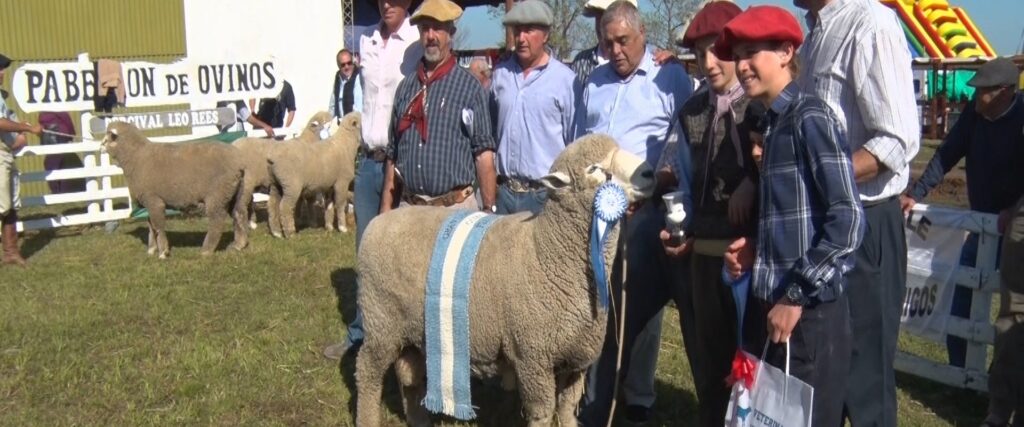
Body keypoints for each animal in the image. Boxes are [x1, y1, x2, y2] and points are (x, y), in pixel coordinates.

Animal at [100, 121, 248, 258]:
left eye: (108, 137)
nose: (100, 146)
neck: (136, 156)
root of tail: (238, 161)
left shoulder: (154, 201)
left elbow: (158, 227)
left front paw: (163, 252)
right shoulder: (148, 203)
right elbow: (150, 227)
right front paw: (151, 250)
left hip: (217, 195)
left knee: (216, 221)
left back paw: (206, 250)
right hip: (234, 193)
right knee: (239, 214)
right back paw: (239, 245)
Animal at [264, 109, 360, 237]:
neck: (345, 144)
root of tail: (272, 157)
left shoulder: (329, 185)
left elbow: (329, 205)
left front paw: (329, 226)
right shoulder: (342, 182)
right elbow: (340, 204)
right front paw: (342, 228)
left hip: (276, 183)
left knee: (272, 204)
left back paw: (276, 232)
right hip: (291, 185)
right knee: (285, 206)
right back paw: (290, 233)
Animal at [356, 135, 651, 425]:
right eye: (593, 169)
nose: (648, 171)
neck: (547, 252)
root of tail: (378, 222)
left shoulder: (576, 360)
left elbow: (567, 410)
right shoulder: (533, 357)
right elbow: (543, 413)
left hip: (411, 330)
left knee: (409, 376)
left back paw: (419, 420)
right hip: (381, 322)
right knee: (367, 371)